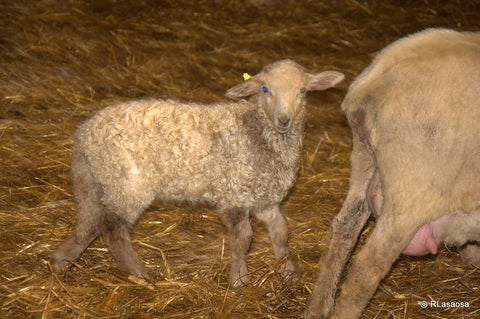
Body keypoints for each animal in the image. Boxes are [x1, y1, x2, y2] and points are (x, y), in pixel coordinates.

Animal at [51, 58, 344, 288]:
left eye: (303, 90)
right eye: (265, 89)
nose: (284, 120)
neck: (256, 132)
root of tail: (85, 134)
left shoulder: (264, 199)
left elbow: (281, 233)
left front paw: (289, 274)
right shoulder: (234, 194)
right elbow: (243, 239)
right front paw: (239, 280)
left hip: (97, 181)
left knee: (89, 224)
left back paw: (61, 261)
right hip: (128, 183)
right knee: (112, 230)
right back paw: (141, 274)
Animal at [306, 28, 480, 319]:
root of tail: (374, 83)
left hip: (364, 161)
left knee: (342, 233)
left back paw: (317, 308)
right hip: (412, 192)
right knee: (366, 267)